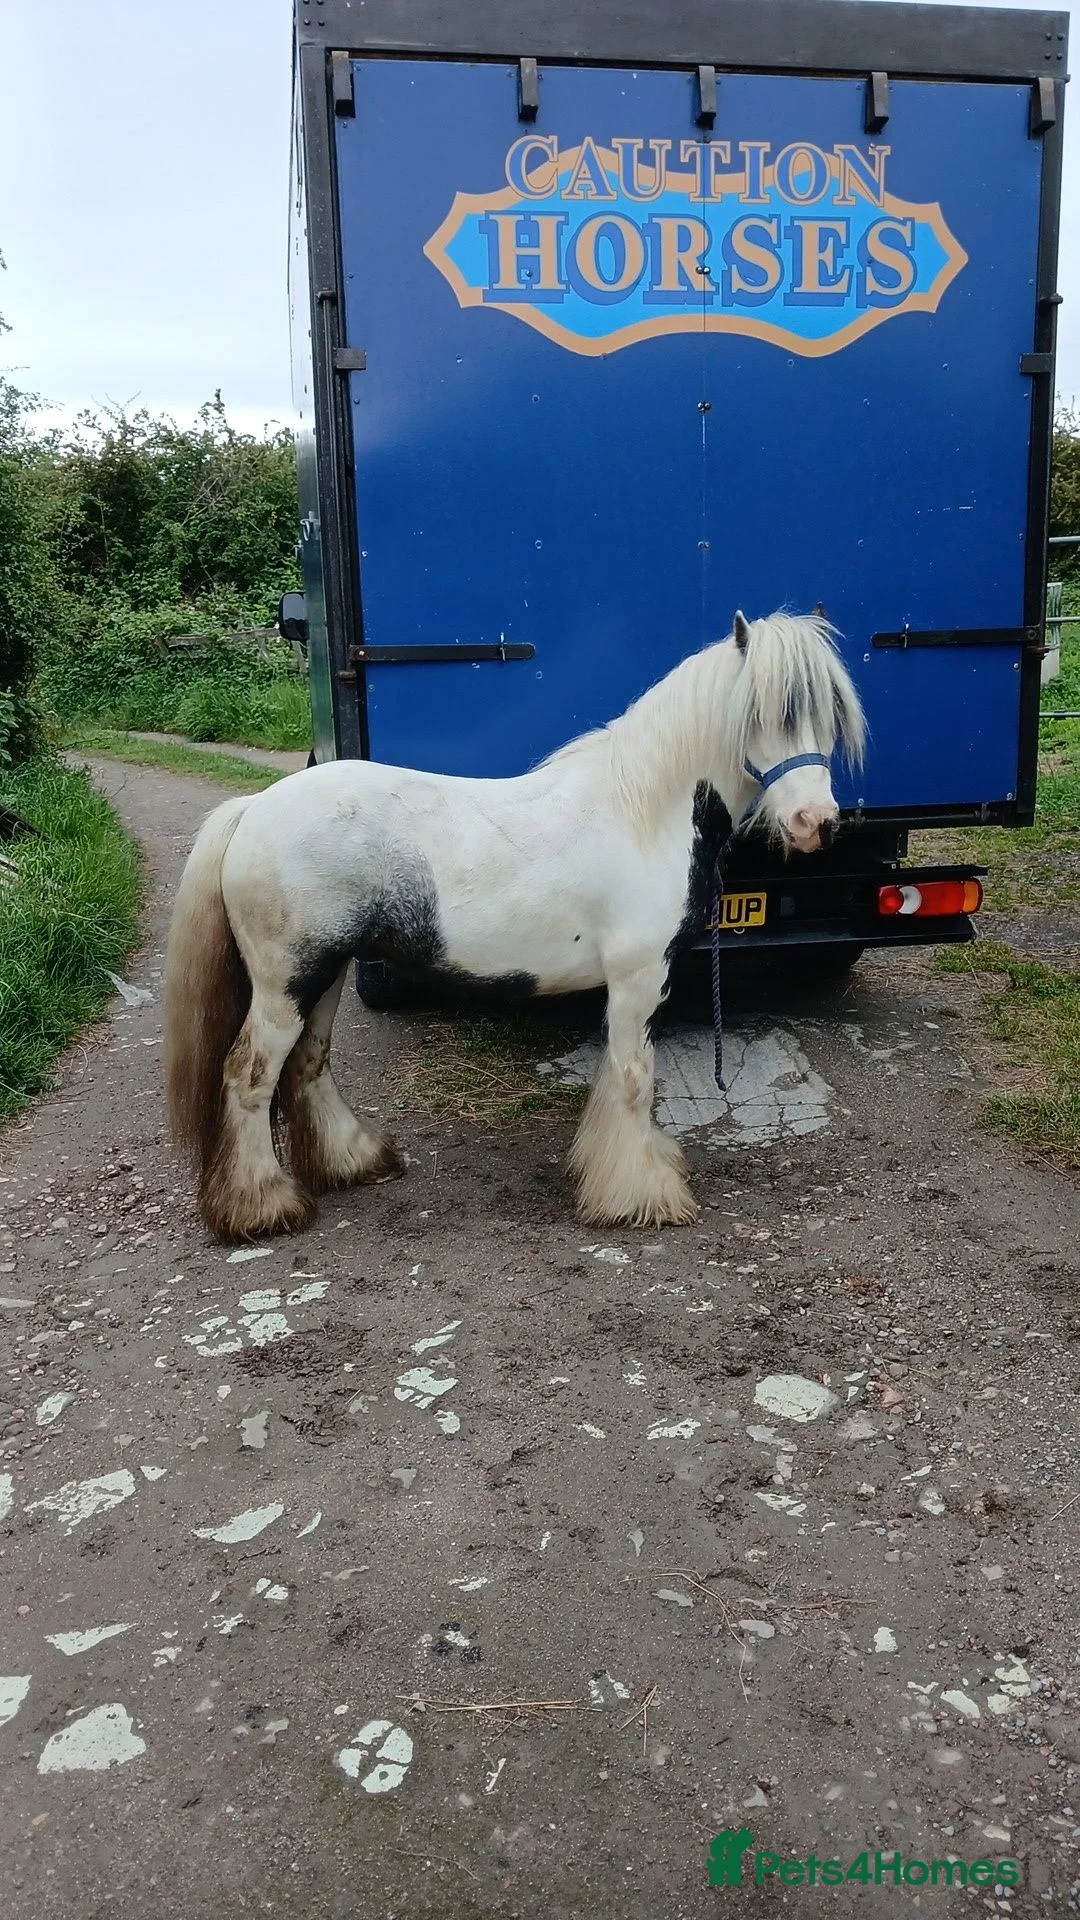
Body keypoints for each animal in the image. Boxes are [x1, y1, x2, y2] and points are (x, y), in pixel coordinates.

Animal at [163, 610, 864, 1242]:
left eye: (828, 713)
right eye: (763, 713)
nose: (816, 823)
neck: (643, 813)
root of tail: (255, 808)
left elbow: (625, 1077)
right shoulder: (638, 979)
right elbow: (634, 1078)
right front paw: (641, 1196)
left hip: (326, 975)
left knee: (309, 1062)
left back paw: (353, 1162)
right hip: (287, 986)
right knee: (250, 1075)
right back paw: (261, 1208)